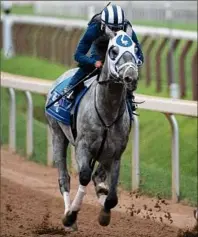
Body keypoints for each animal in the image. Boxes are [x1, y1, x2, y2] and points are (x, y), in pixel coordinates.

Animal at [45, 26, 139, 230]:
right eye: (113, 51)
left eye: (136, 50)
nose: (131, 77)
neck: (107, 111)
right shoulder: (83, 146)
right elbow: (84, 176)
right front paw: (71, 216)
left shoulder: (115, 153)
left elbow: (112, 197)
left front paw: (105, 213)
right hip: (57, 133)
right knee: (64, 178)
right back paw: (68, 216)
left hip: (102, 154)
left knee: (97, 177)